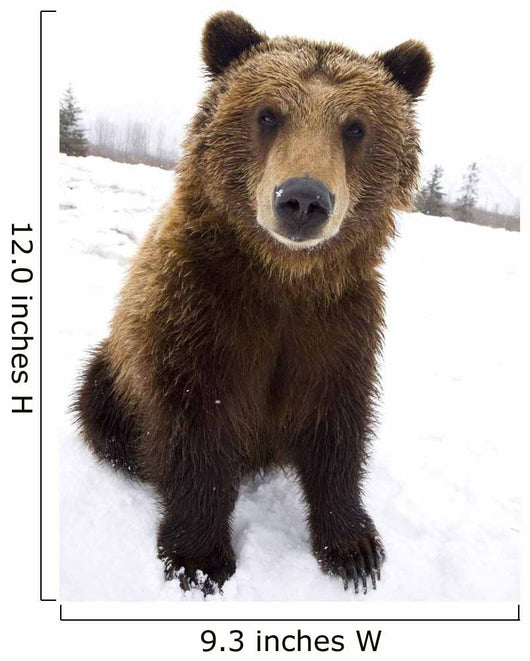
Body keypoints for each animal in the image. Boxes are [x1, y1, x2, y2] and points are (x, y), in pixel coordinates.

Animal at [75, 11, 432, 596]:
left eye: (355, 127)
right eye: (269, 114)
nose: (303, 199)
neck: (283, 279)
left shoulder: (338, 324)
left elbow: (337, 425)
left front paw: (354, 549)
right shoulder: (200, 311)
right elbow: (195, 426)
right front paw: (199, 557)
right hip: (113, 372)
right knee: (101, 410)